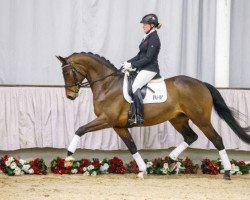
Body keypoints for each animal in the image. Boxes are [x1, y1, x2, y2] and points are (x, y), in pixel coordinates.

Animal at [56, 52, 250, 180]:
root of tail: (201, 83)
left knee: (217, 139)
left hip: (201, 119)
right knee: (191, 136)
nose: (70, 96)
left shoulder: (107, 120)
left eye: (67, 73)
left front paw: (69, 157)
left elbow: (80, 129)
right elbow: (132, 146)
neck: (107, 85)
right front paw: (143, 170)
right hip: (178, 119)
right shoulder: (118, 126)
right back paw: (171, 160)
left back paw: (227, 172)